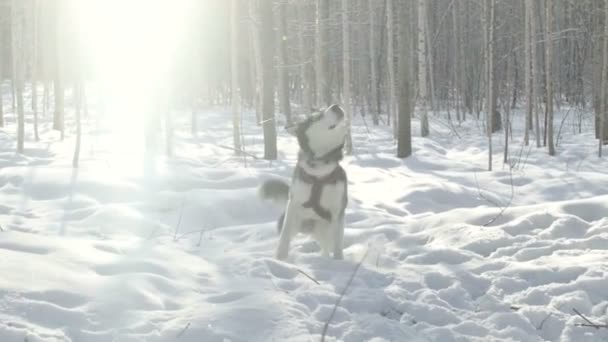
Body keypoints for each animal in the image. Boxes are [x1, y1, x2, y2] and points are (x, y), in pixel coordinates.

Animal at [258, 104, 350, 260]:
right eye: (317, 116)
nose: (336, 106)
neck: (319, 169)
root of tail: (308, 226)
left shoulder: (337, 210)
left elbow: (338, 245)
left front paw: (339, 261)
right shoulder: (293, 203)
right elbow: (284, 237)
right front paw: (280, 259)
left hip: (324, 229)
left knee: (327, 247)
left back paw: (325, 259)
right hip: (296, 223)